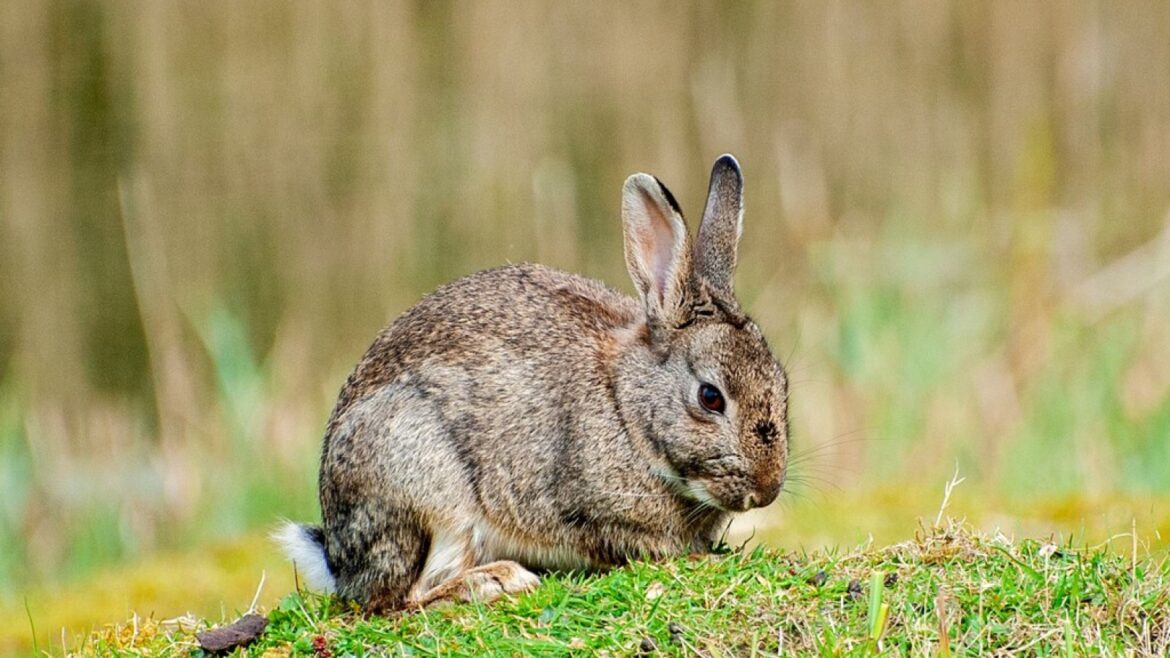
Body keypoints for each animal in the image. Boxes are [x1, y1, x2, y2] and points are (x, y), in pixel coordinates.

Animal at [277, 154, 789, 612]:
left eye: (782, 385)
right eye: (711, 397)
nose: (766, 491)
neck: (626, 407)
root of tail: (338, 561)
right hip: (421, 481)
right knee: (401, 597)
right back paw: (496, 580)